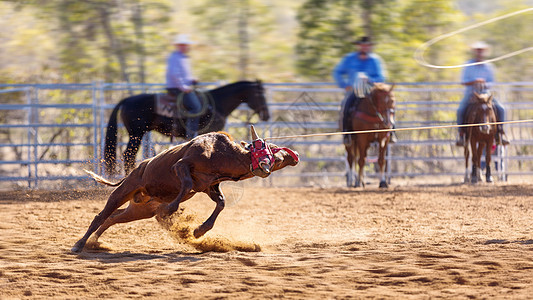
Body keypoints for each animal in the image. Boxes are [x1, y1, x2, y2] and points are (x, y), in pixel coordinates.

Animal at [104, 79, 270, 175]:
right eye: (260, 95)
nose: (266, 115)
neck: (217, 104)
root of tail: (126, 100)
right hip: (136, 134)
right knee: (128, 155)